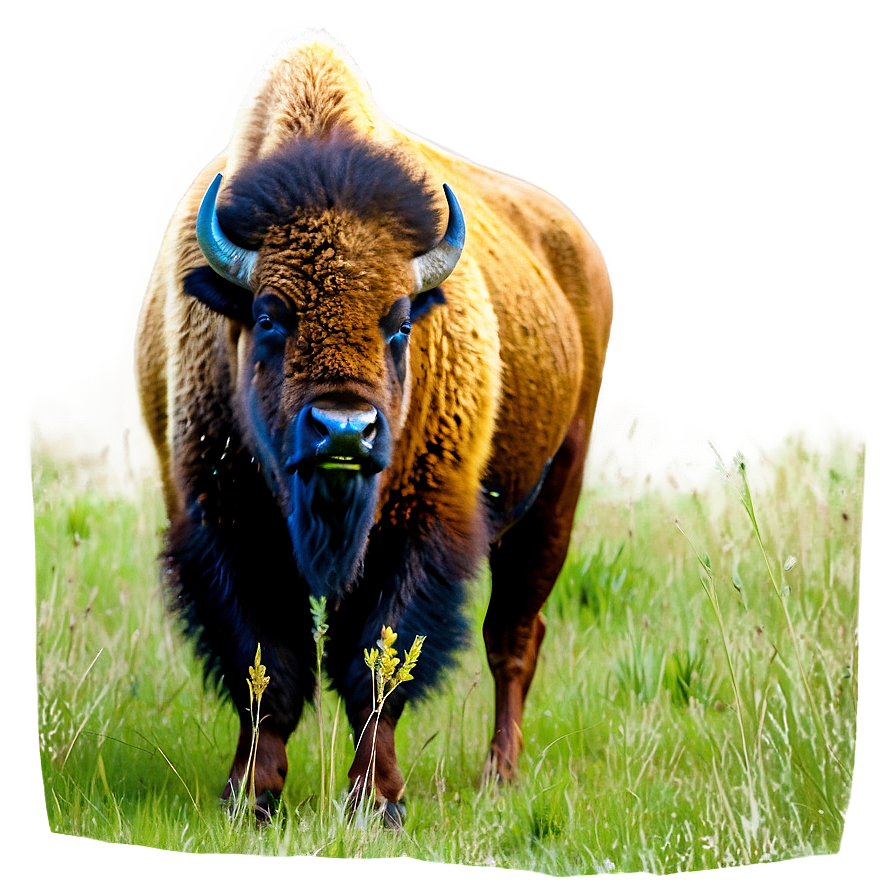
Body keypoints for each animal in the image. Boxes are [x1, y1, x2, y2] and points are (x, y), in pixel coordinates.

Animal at [136, 28, 612, 824]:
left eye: (399, 323)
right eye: (268, 316)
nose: (344, 433)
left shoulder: (417, 522)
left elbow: (378, 661)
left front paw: (375, 802)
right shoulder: (226, 522)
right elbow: (265, 661)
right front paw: (249, 795)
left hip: (554, 497)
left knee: (513, 636)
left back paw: (500, 774)